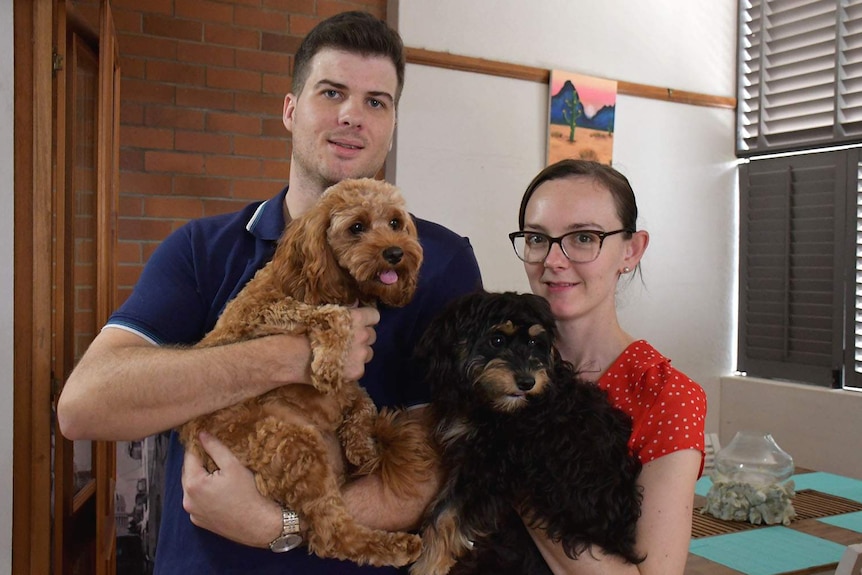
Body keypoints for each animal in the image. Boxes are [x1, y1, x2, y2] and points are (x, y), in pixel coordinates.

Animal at [183, 179, 438, 568]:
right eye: (357, 227)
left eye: (396, 222)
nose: (395, 253)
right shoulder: (260, 312)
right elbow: (334, 315)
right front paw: (327, 364)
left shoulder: (351, 390)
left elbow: (363, 404)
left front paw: (361, 446)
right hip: (292, 443)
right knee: (331, 536)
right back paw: (397, 545)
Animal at [414, 292, 648, 575]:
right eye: (497, 339)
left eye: (535, 342)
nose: (528, 382)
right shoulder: (471, 461)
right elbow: (441, 506)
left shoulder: (491, 470)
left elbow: (445, 515)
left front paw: (427, 565)